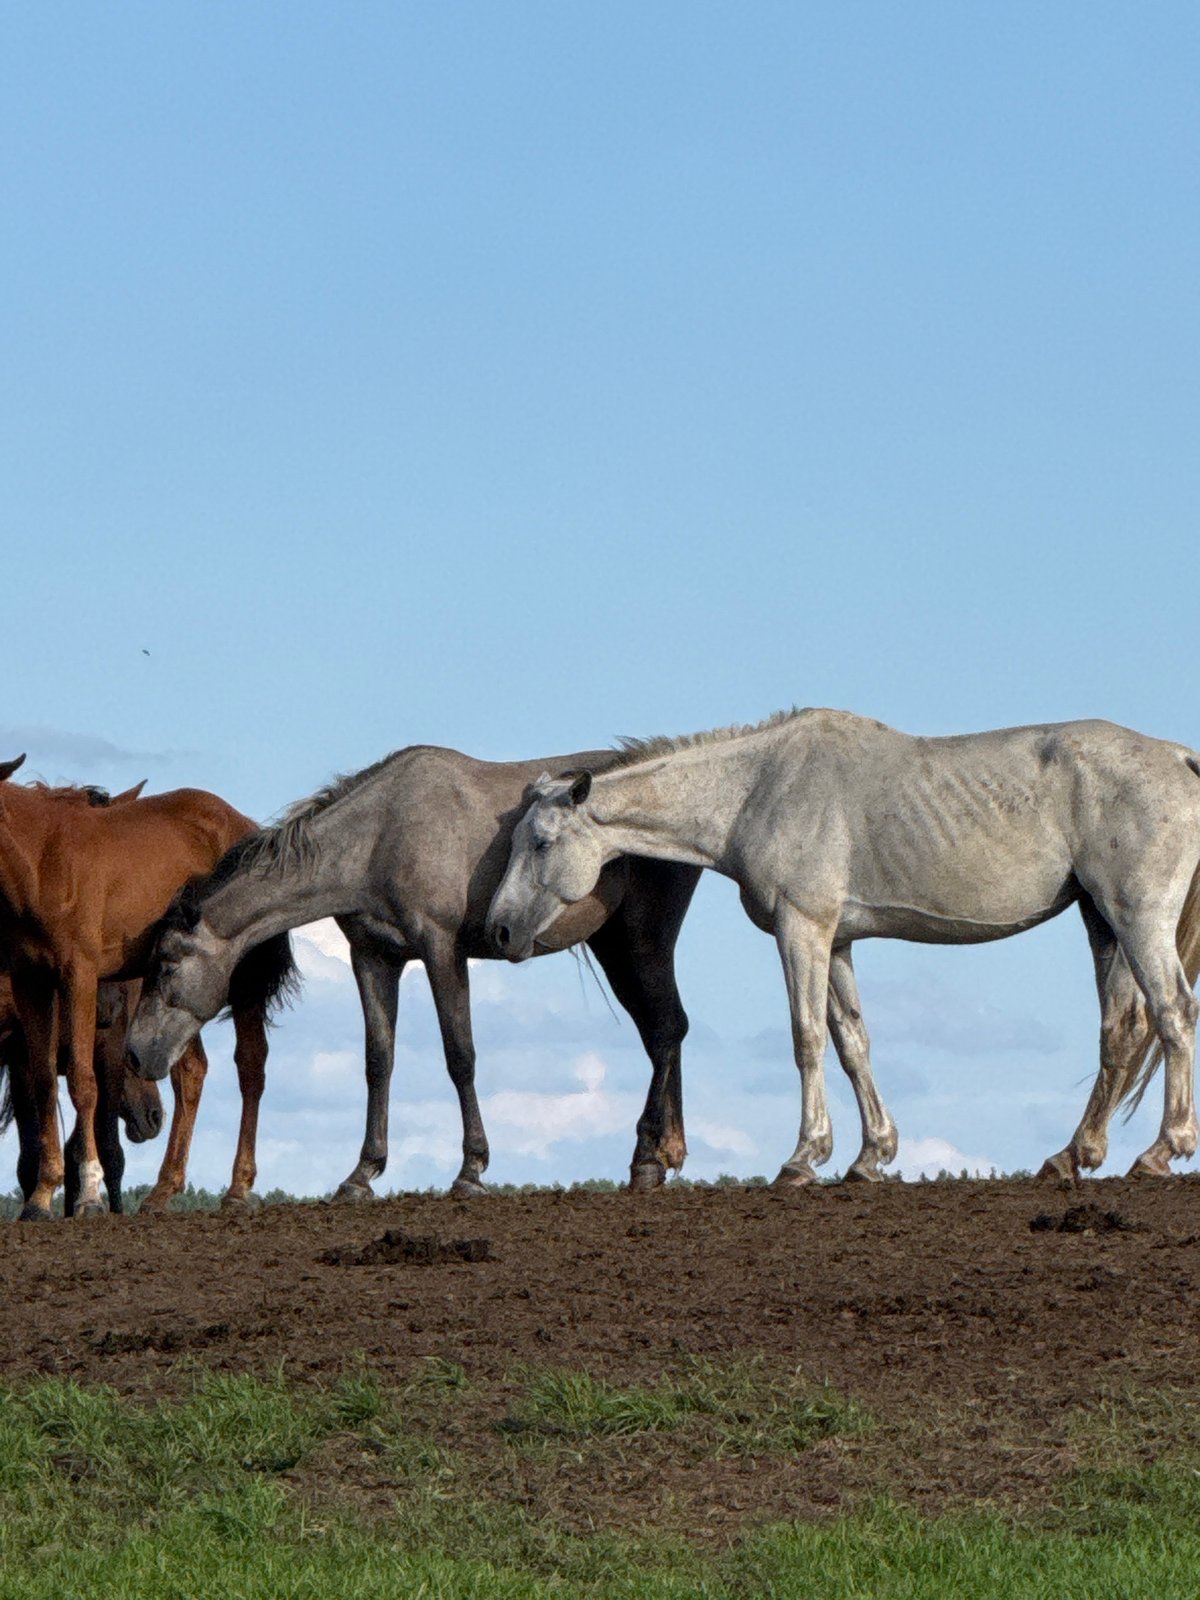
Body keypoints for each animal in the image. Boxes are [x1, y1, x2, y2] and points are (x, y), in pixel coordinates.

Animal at [0, 766, 296, 1218]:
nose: (107, 1011)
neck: (41, 861)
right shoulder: (30, 981)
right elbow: (44, 1082)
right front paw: (40, 1197)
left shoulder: (79, 975)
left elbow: (84, 1084)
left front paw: (89, 1197)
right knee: (191, 1072)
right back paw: (162, 1190)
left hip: (243, 979)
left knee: (250, 1067)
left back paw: (237, 1189)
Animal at [126, 744, 701, 1198]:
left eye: (166, 963)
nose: (135, 1053)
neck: (381, 835)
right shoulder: (373, 958)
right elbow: (378, 1061)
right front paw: (362, 1173)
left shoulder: (441, 951)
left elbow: (460, 1055)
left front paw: (470, 1170)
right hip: (616, 945)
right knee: (661, 1031)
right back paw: (661, 1154)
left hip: (642, 939)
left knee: (667, 1028)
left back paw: (647, 1159)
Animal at [486, 709, 1200, 1185]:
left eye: (541, 843)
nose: (500, 930)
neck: (758, 787)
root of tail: (1178, 758)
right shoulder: (837, 940)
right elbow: (852, 1041)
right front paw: (870, 1156)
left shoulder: (802, 928)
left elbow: (806, 1039)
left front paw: (804, 1158)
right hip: (1101, 921)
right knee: (1121, 1028)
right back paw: (1071, 1156)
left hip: (1136, 918)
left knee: (1172, 1014)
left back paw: (1161, 1152)